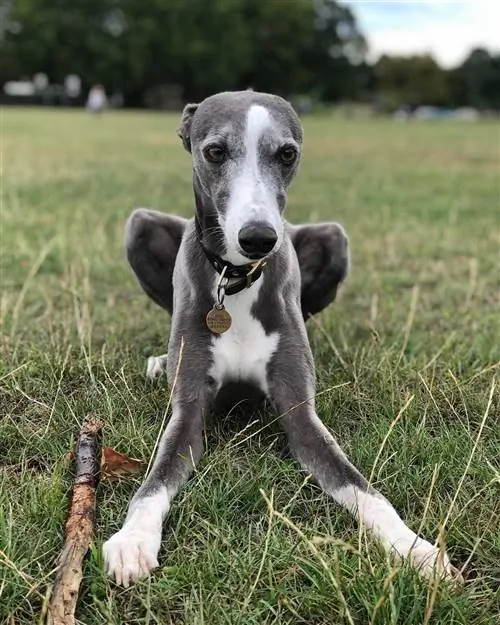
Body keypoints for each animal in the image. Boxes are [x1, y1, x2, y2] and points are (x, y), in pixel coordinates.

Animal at [103, 91, 458, 584]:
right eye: (215, 151)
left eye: (287, 153)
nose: (258, 238)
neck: (235, 281)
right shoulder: (188, 410)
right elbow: (154, 480)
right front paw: (133, 541)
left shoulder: (300, 413)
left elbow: (360, 485)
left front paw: (415, 548)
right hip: (141, 227)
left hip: (333, 239)